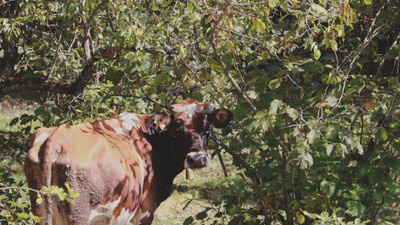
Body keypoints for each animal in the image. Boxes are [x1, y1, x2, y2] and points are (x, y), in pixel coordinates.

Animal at [24, 100, 231, 225]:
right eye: (176, 131)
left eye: (207, 129)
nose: (197, 158)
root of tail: (57, 136)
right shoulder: (145, 211)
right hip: (77, 214)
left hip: (41, 212)